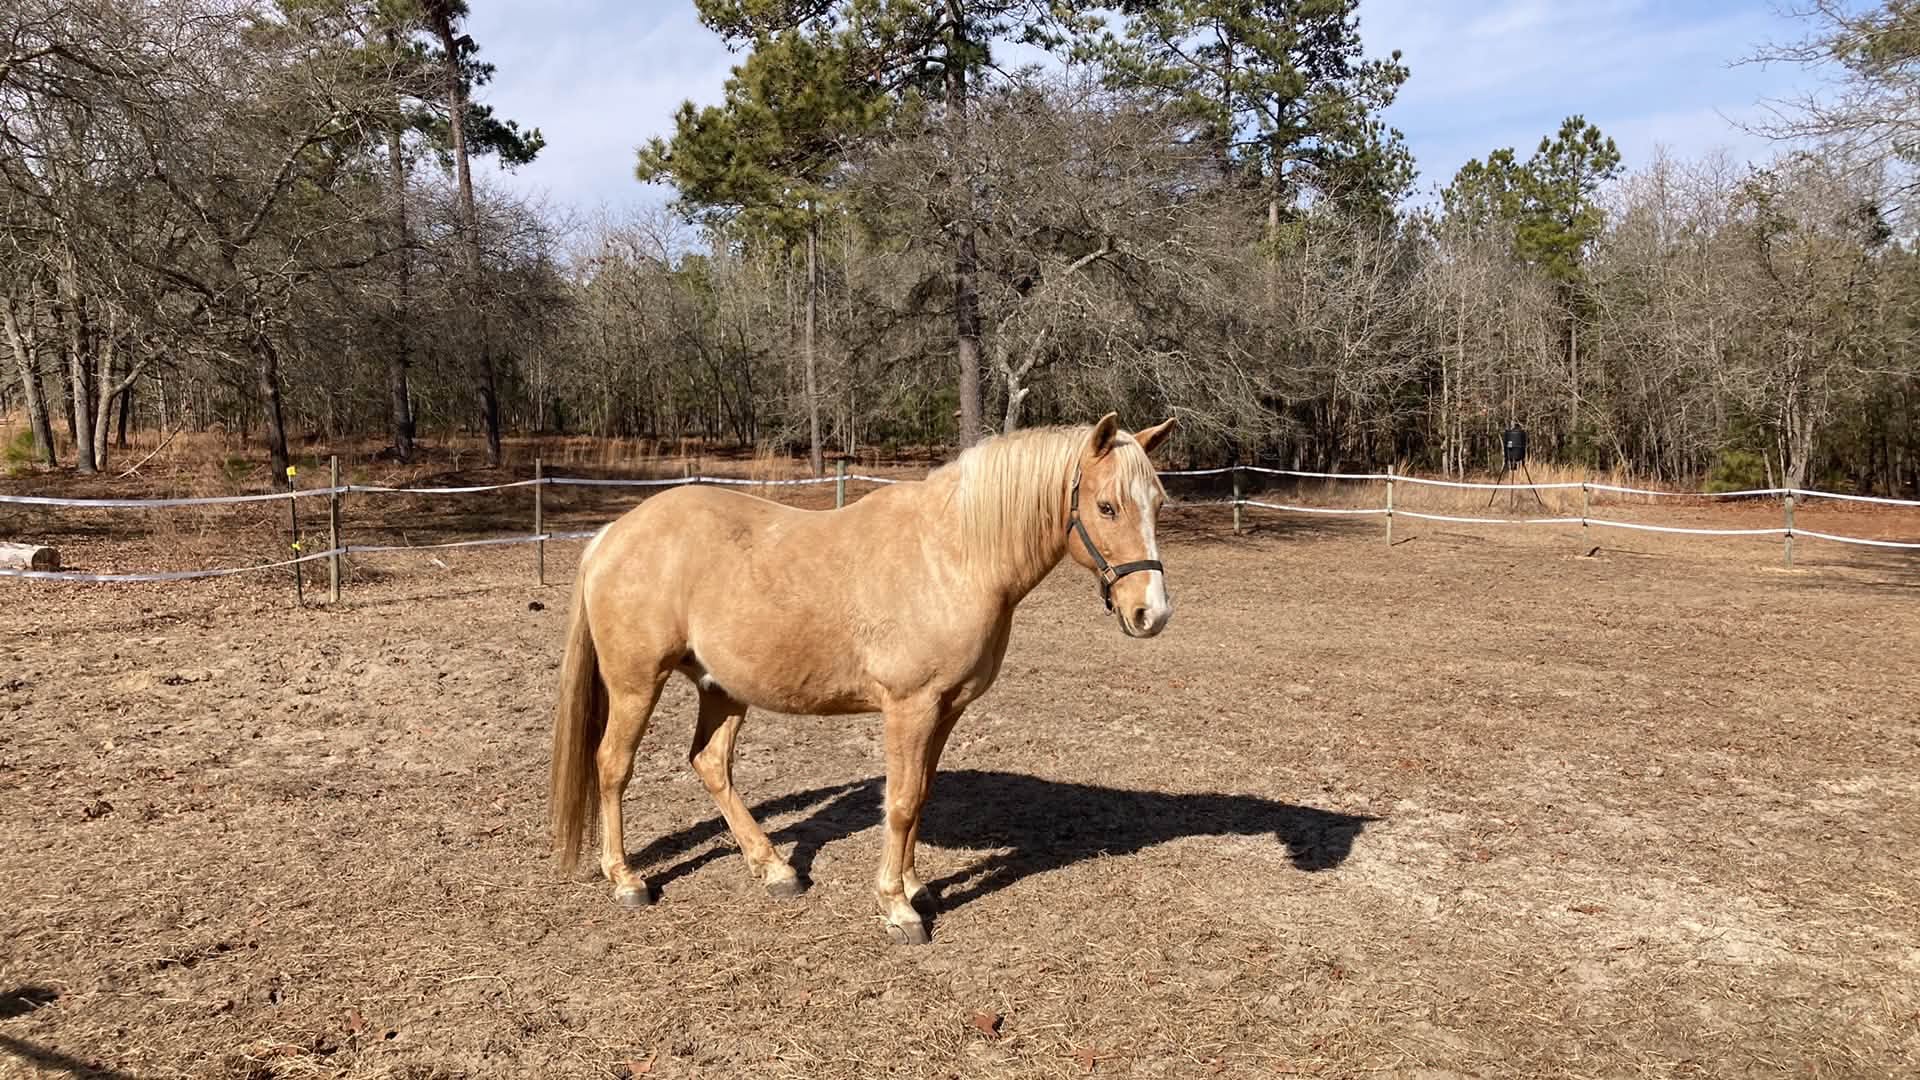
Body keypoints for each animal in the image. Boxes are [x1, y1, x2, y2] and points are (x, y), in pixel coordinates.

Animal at [548, 413, 1177, 944]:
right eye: (1107, 507)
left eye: (1158, 504)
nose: (1152, 613)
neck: (952, 557)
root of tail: (611, 534)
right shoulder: (910, 706)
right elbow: (899, 802)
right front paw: (897, 909)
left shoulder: (947, 709)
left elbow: (920, 795)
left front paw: (917, 887)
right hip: (636, 684)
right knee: (613, 766)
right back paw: (627, 879)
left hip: (720, 687)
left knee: (710, 764)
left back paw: (775, 870)